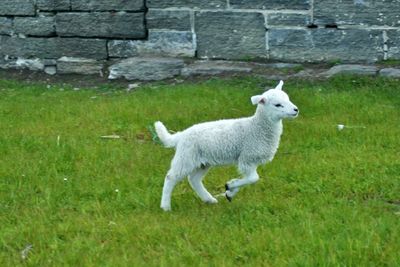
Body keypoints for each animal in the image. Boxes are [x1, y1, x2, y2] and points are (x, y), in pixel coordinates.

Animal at [155, 79, 298, 211]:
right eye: (278, 105)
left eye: (288, 99)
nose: (296, 110)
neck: (256, 127)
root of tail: (181, 135)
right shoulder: (247, 157)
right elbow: (253, 178)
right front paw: (230, 186)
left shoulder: (251, 160)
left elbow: (250, 179)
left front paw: (230, 191)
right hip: (186, 156)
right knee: (171, 177)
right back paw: (165, 206)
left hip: (202, 161)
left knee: (194, 179)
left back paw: (209, 199)